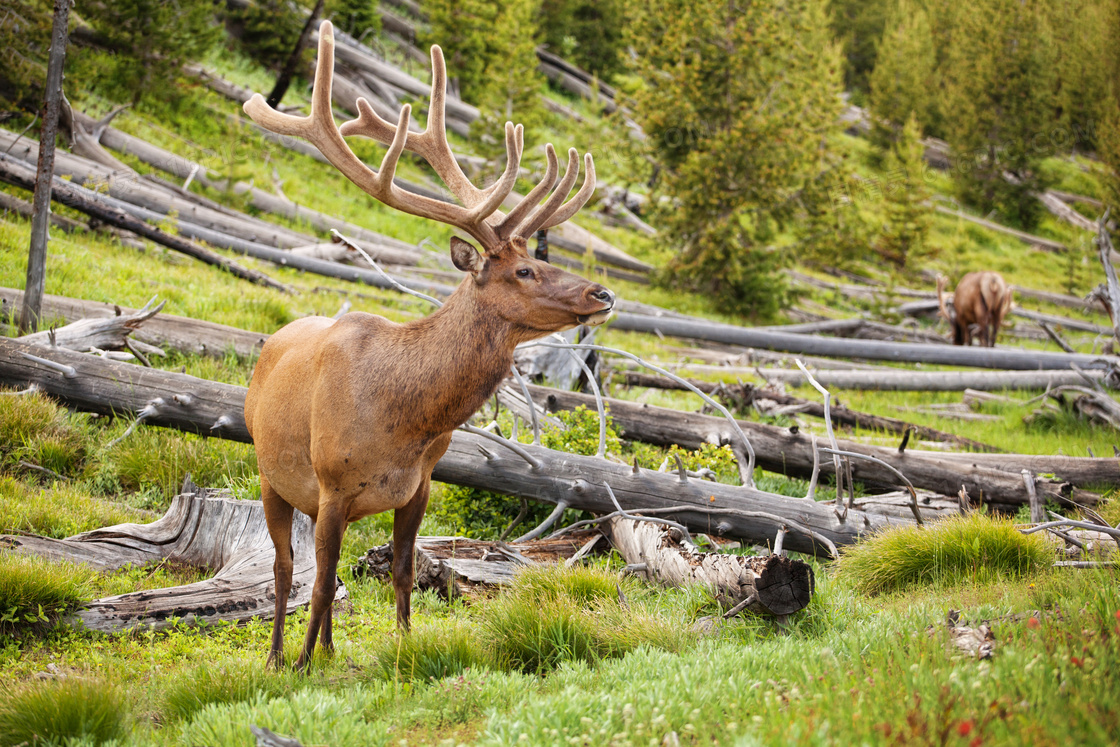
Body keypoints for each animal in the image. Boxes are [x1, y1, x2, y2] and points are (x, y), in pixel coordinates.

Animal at [241, 21, 618, 671]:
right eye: (523, 271)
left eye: (539, 259)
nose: (602, 292)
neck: (407, 420)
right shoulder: (334, 484)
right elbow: (319, 582)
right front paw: (302, 665)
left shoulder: (420, 485)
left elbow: (400, 571)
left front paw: (403, 648)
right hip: (272, 475)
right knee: (287, 570)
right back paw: (279, 657)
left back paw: (331, 648)